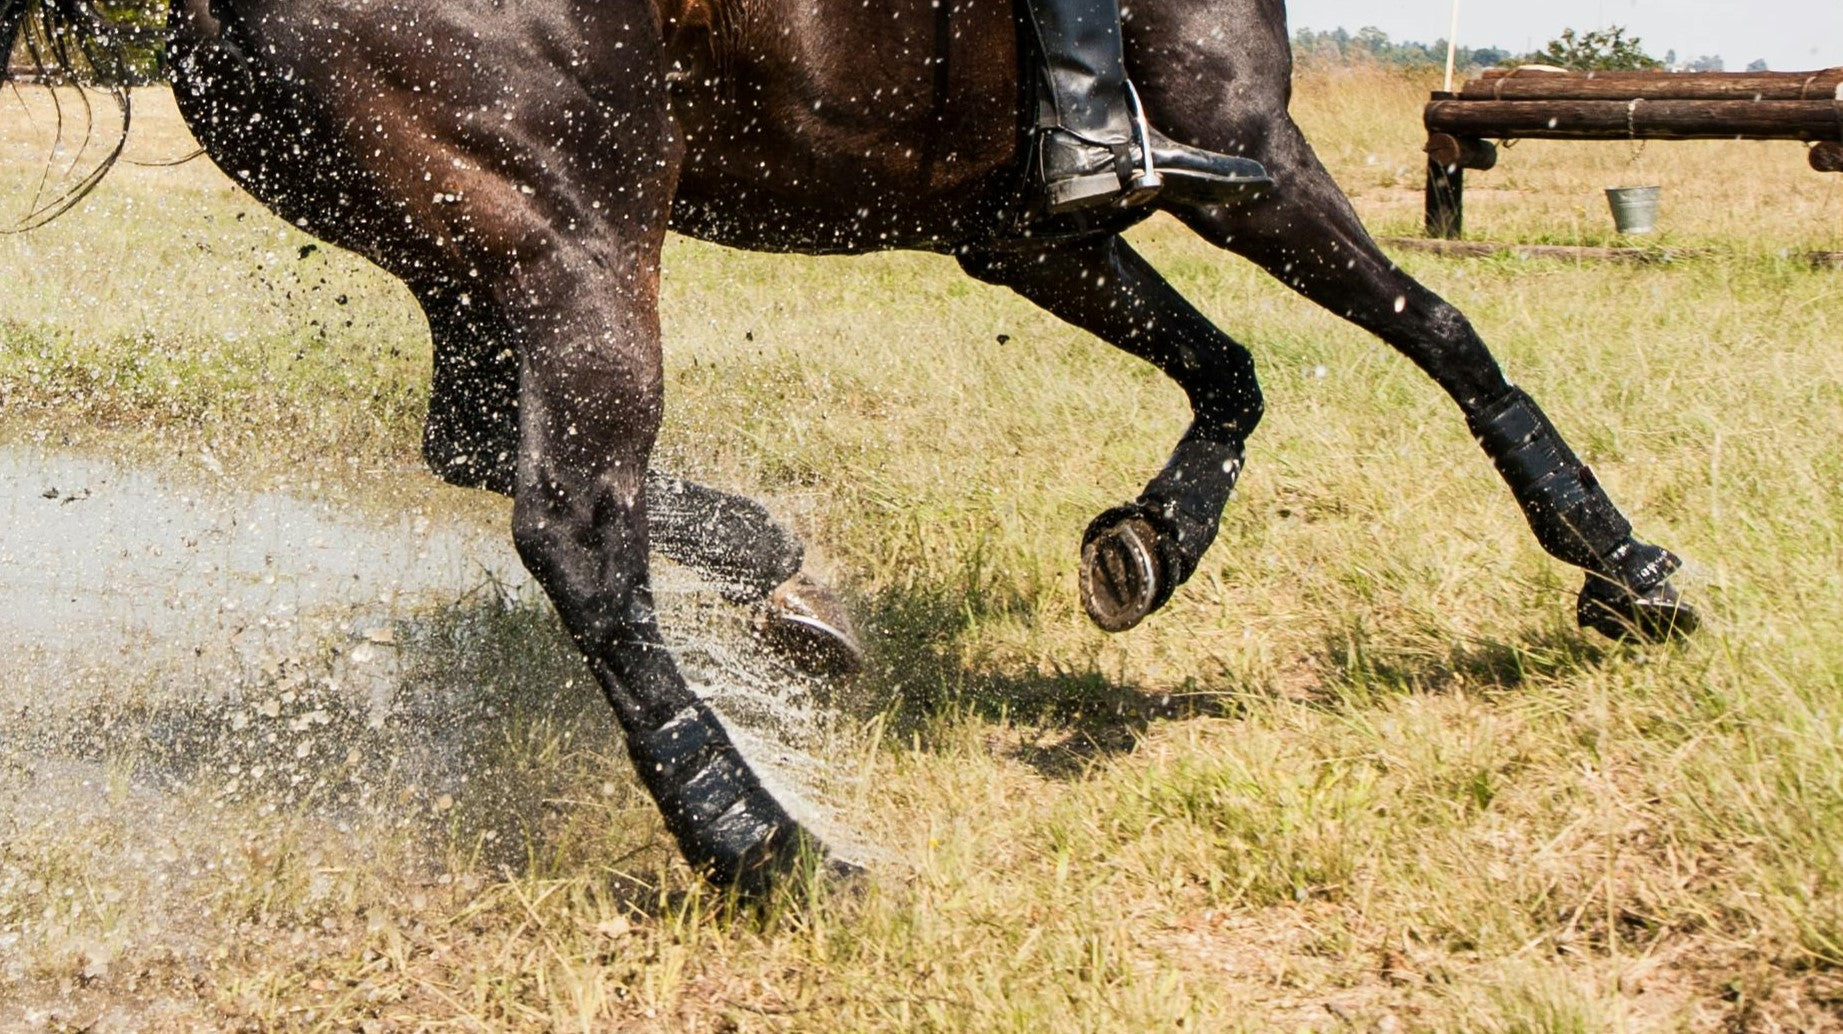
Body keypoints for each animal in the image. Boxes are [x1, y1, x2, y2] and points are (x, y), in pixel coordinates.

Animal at [1, 0, 1698, 893]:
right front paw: (1620, 566)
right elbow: (1444, 334)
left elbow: (1227, 369)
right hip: (576, 231)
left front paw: (1144, 545)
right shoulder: (1245, 153)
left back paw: (780, 593)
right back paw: (755, 833)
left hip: (467, 241)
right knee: (572, 528)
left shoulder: (1018, 225)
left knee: (475, 441)